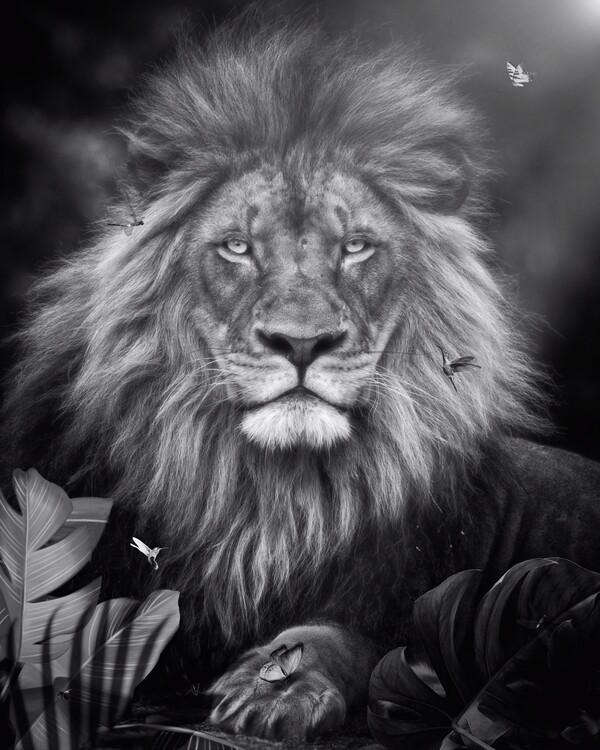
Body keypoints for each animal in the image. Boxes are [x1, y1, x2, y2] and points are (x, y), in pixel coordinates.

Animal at [2, 21, 600, 742]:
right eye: (237, 247)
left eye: (355, 247)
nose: (302, 342)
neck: (273, 494)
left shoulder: (422, 601)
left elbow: (365, 644)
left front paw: (277, 686)